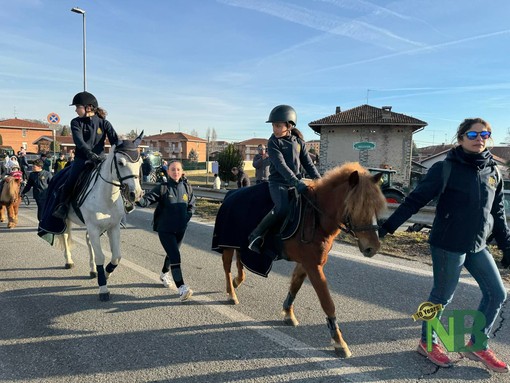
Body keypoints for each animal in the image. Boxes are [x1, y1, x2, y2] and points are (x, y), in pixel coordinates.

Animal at [59, 134, 143, 302]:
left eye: (141, 163)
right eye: (120, 162)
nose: (136, 194)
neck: (106, 196)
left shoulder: (113, 227)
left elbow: (116, 257)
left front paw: (105, 273)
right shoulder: (93, 227)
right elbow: (100, 256)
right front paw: (103, 288)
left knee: (87, 241)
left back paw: (92, 270)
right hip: (66, 220)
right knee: (65, 236)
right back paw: (69, 261)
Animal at [213, 163, 384, 360]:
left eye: (376, 207)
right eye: (356, 206)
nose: (373, 247)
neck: (317, 218)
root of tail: (231, 194)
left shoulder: (308, 263)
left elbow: (295, 286)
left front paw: (288, 313)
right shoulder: (313, 265)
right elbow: (327, 302)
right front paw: (339, 341)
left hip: (239, 242)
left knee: (240, 260)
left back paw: (237, 281)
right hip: (227, 242)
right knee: (227, 267)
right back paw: (231, 293)